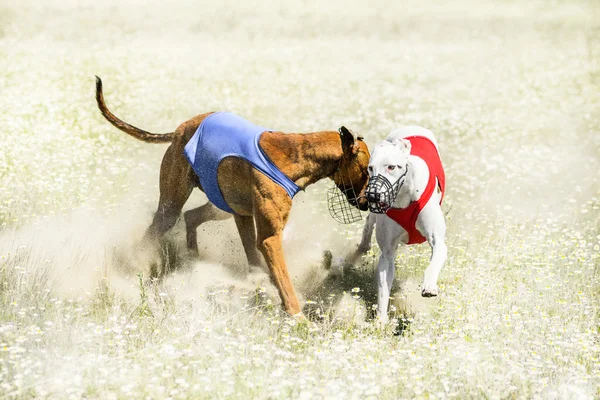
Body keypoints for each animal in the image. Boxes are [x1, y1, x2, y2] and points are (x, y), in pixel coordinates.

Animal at [94, 76, 370, 318]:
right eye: (367, 169)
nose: (367, 203)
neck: (296, 156)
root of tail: (180, 129)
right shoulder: (270, 238)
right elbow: (283, 281)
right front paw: (298, 318)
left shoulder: (249, 221)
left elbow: (259, 266)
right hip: (171, 206)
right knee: (156, 231)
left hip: (223, 207)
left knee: (191, 216)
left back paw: (193, 259)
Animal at [356, 126, 446, 324]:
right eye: (370, 168)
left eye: (391, 167)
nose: (372, 195)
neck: (404, 196)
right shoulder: (387, 253)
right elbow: (383, 285)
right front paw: (380, 320)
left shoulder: (438, 240)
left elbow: (435, 259)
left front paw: (429, 285)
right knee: (368, 224)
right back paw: (362, 247)